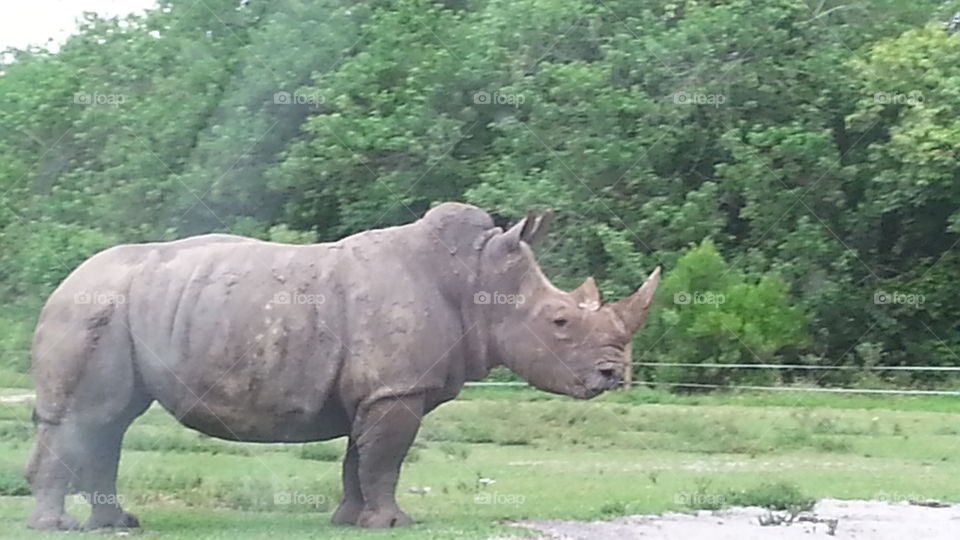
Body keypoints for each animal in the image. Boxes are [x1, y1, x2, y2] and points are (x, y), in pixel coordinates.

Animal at [24, 202, 661, 530]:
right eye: (560, 322)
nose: (614, 375)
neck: (477, 278)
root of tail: (64, 283)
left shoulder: (376, 388)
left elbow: (361, 458)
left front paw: (350, 521)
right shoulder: (395, 387)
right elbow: (386, 459)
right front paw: (393, 524)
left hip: (121, 309)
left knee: (108, 422)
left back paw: (118, 525)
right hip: (94, 308)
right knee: (89, 417)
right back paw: (59, 528)